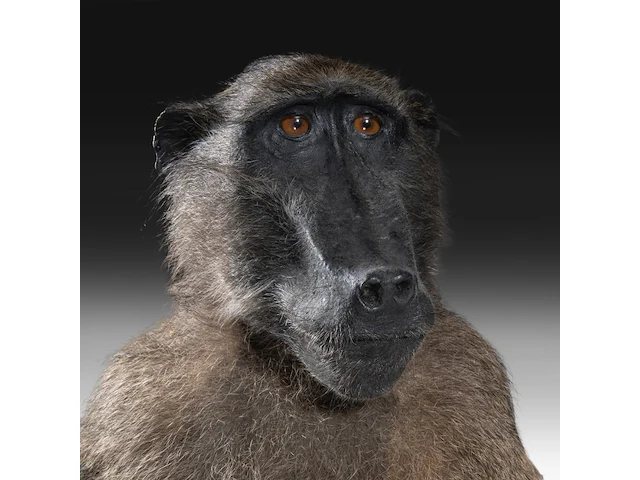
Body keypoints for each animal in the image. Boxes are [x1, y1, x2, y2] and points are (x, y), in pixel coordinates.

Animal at [80, 53, 543, 480]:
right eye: (296, 125)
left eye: (367, 125)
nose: (386, 287)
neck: (317, 393)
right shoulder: (143, 405)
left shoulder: (467, 377)